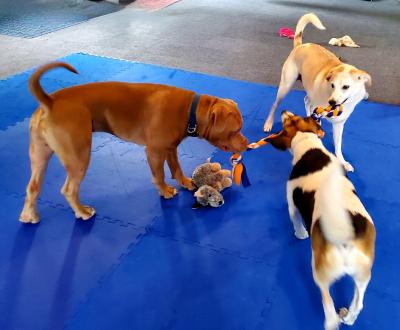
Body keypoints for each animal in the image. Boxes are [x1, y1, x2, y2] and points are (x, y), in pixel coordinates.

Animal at [21, 62, 250, 224]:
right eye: (235, 130)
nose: (247, 145)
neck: (189, 111)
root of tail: (50, 102)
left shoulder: (170, 148)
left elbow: (176, 168)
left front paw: (185, 182)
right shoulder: (155, 151)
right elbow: (159, 175)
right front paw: (165, 191)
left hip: (39, 157)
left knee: (32, 187)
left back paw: (28, 215)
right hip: (79, 157)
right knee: (69, 190)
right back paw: (82, 212)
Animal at [262, 12, 372, 173]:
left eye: (346, 87)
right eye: (332, 85)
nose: (332, 102)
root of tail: (301, 45)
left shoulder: (339, 124)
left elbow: (338, 146)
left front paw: (343, 161)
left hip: (309, 92)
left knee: (307, 101)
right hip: (285, 86)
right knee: (274, 105)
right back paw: (268, 123)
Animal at [268, 111, 376, 330]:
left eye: (287, 121)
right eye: (297, 117)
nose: (284, 111)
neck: (308, 145)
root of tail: (345, 240)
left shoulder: (292, 204)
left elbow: (296, 221)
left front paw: (300, 234)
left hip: (320, 272)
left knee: (328, 307)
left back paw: (334, 318)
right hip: (363, 275)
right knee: (358, 304)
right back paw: (348, 317)